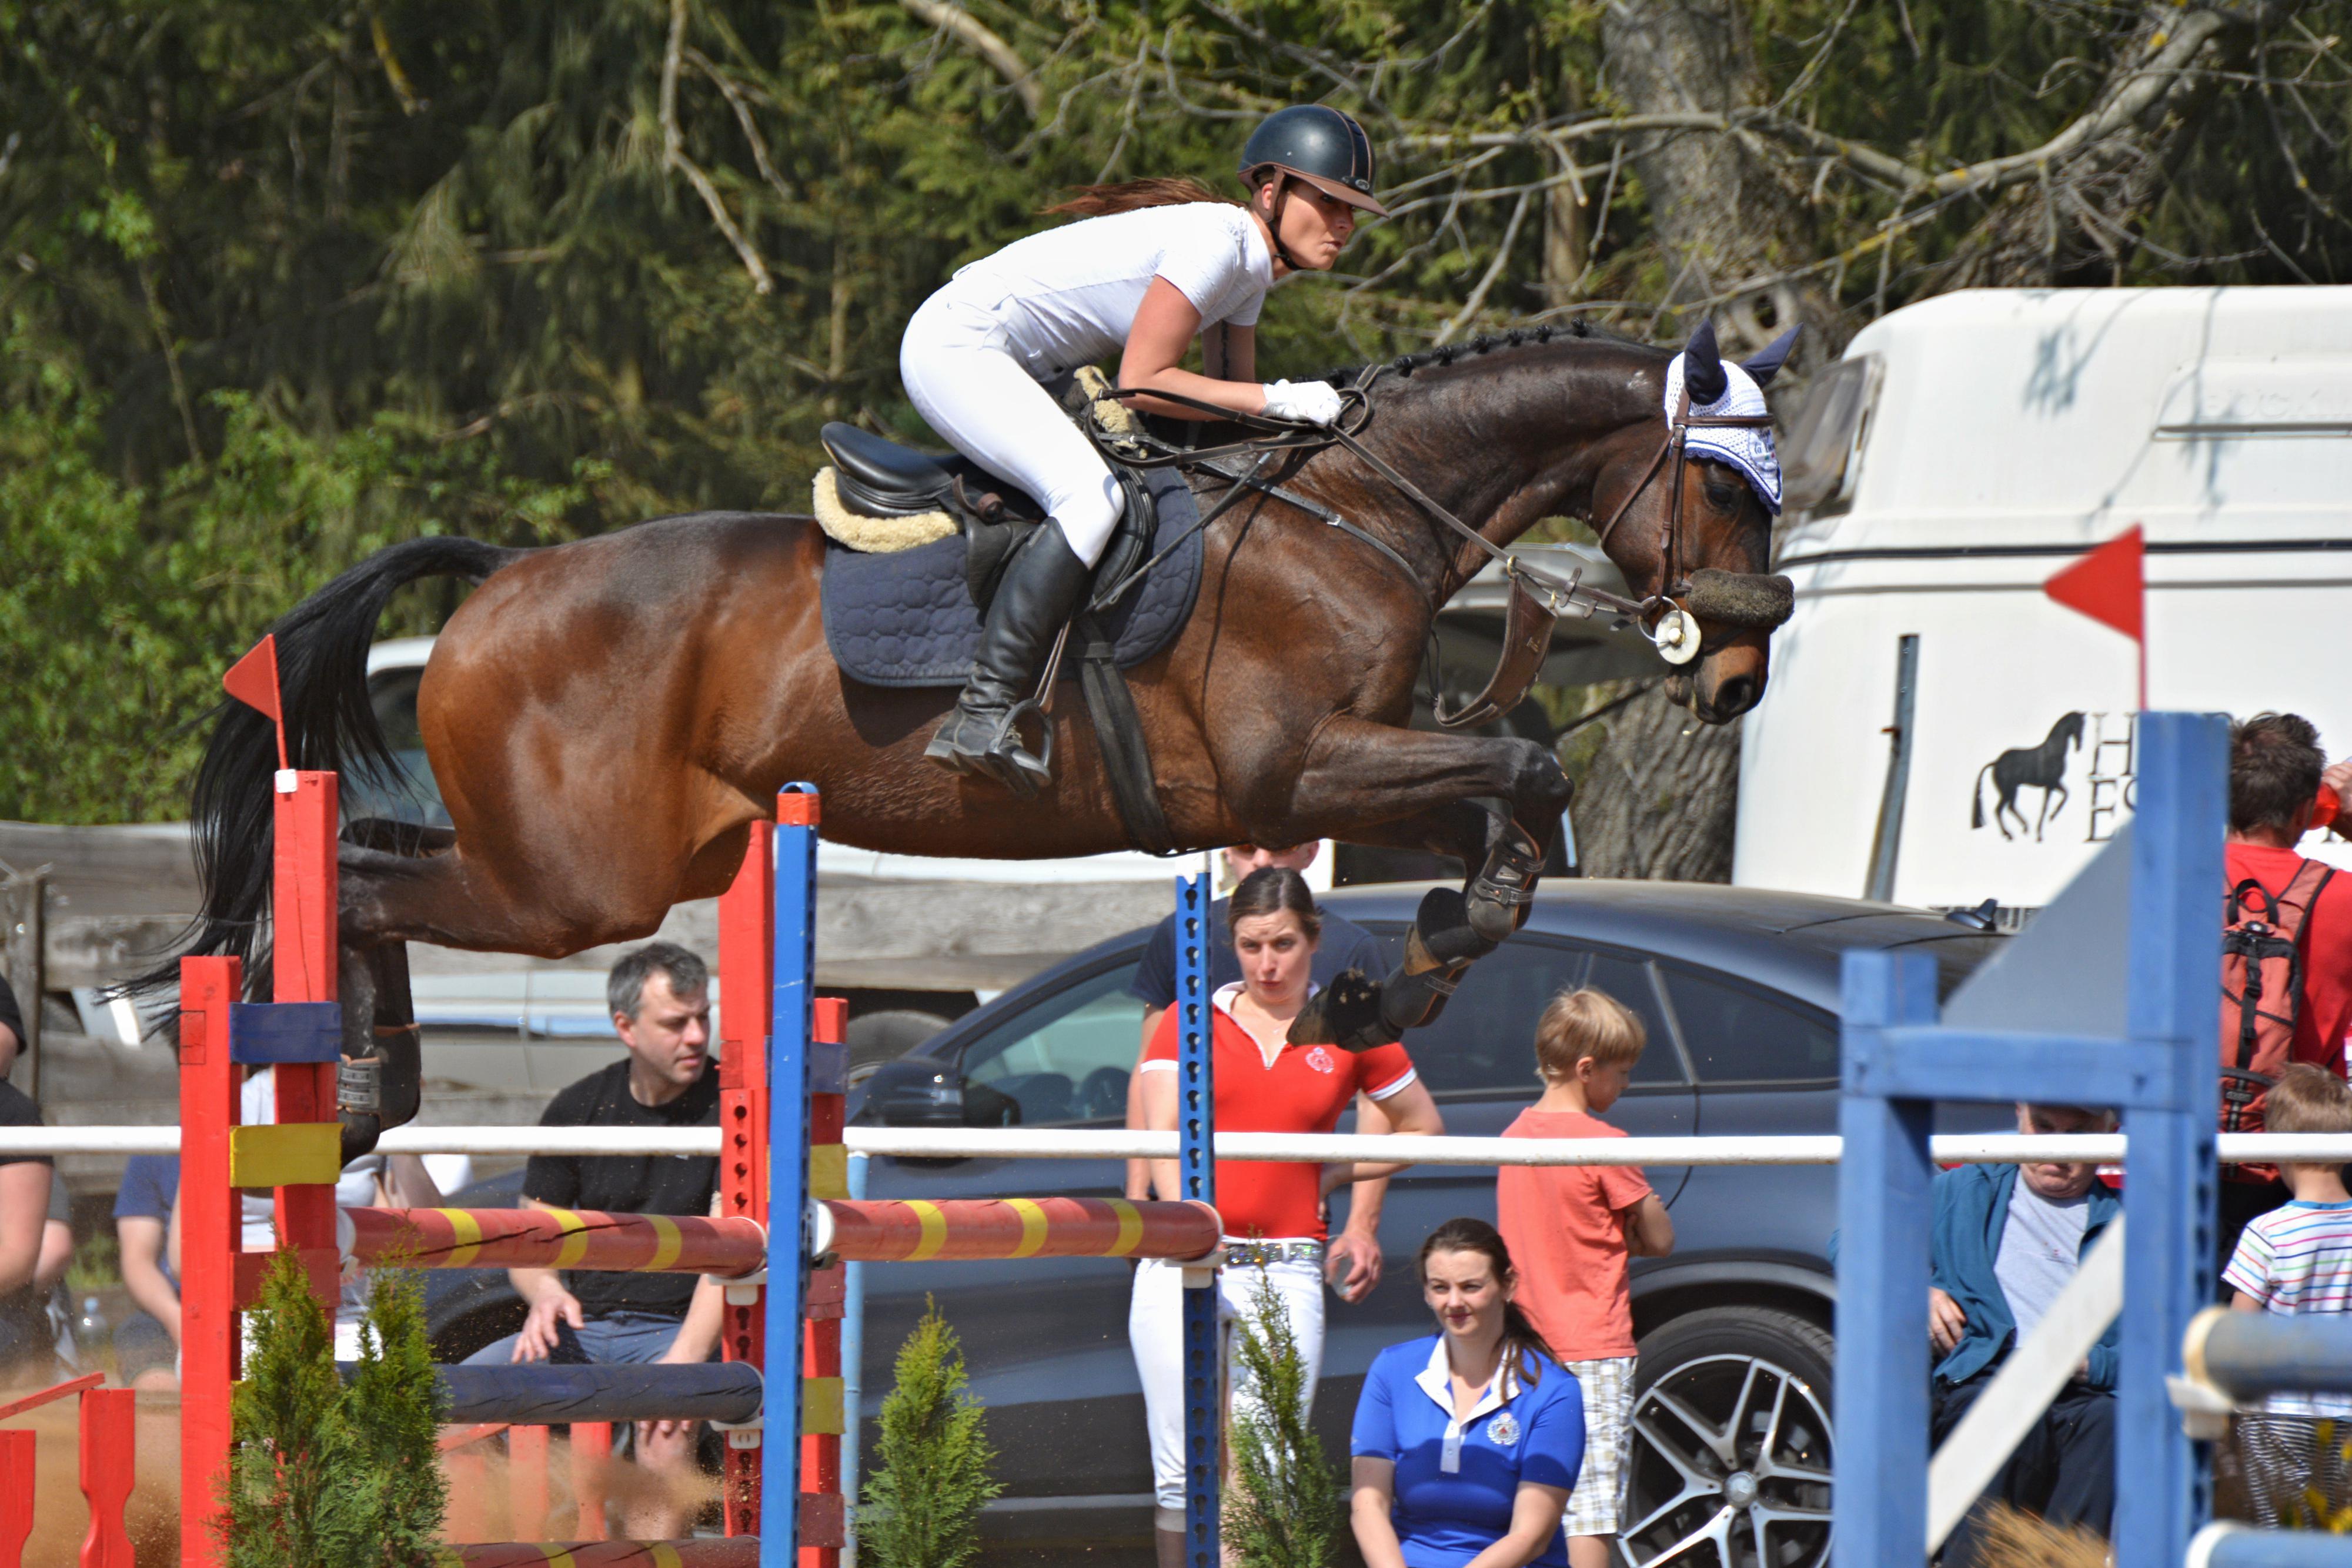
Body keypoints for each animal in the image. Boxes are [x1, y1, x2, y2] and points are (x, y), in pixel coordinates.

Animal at [153, 320, 1799, 1159]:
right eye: (1727, 489)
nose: (1733, 679)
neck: (1354, 512)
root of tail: (501, 577)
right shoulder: (1291, 767)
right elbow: (1525, 770)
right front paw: (1408, 964)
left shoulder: (1351, 762)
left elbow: (1501, 817)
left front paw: (1399, 972)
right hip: (573, 881)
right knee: (364, 871)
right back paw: (357, 1089)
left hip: (618, 858)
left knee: (370, 847)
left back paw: (368, 1084)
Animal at [1971, 712, 2088, 842]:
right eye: (2078, 724)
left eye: (2084, 725)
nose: (2079, 746)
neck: (2054, 752)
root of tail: (1997, 763)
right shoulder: (2050, 785)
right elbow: (2045, 807)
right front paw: (2041, 832)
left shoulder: (2055, 783)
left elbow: (2066, 794)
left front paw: (2052, 817)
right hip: (2009, 791)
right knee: (1999, 810)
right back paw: (2009, 834)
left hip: (2011, 791)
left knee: (2010, 807)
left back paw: (2024, 828)